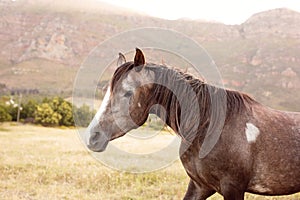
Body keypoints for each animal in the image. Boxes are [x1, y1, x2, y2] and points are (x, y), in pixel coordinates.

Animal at [86, 47, 300, 199]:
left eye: (128, 92)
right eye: (106, 90)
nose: (92, 136)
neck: (208, 128)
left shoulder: (233, 188)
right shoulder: (200, 186)